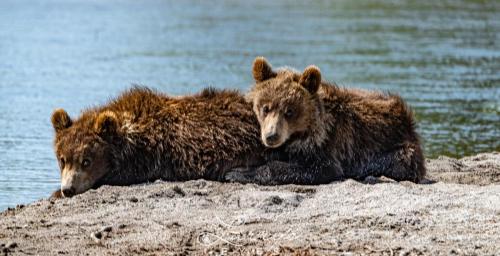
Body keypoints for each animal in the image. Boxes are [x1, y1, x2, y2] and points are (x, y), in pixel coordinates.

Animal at [227, 56, 426, 183]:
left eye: (289, 111)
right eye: (265, 108)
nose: (271, 136)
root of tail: (406, 115)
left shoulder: (329, 146)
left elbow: (317, 169)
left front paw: (238, 173)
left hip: (395, 147)